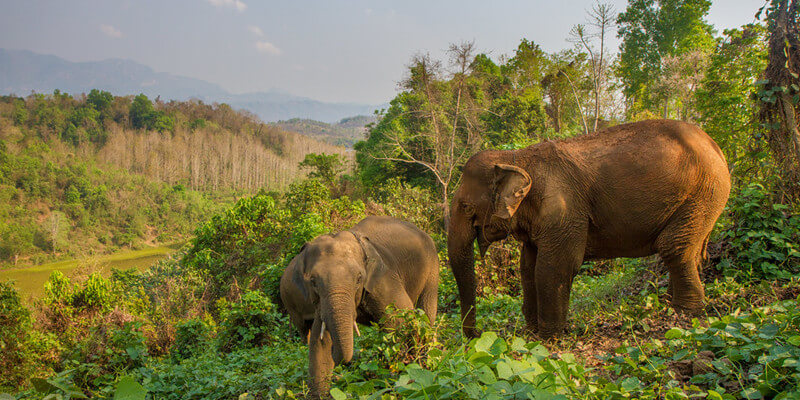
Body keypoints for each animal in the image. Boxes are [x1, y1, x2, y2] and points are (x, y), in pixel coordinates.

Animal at [279, 215, 439, 399]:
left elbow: (401, 319)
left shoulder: (384, 279)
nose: (344, 365)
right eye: (313, 281)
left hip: (432, 267)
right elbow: (320, 341)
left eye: (358, 278)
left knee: (426, 312)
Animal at [447, 119, 731, 339]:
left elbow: (554, 267)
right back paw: (672, 302)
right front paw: (530, 335)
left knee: (673, 246)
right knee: (689, 249)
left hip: (704, 192)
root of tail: (715, 145)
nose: (478, 335)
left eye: (466, 207)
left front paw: (548, 340)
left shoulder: (565, 210)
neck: (516, 157)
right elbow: (527, 267)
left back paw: (684, 313)